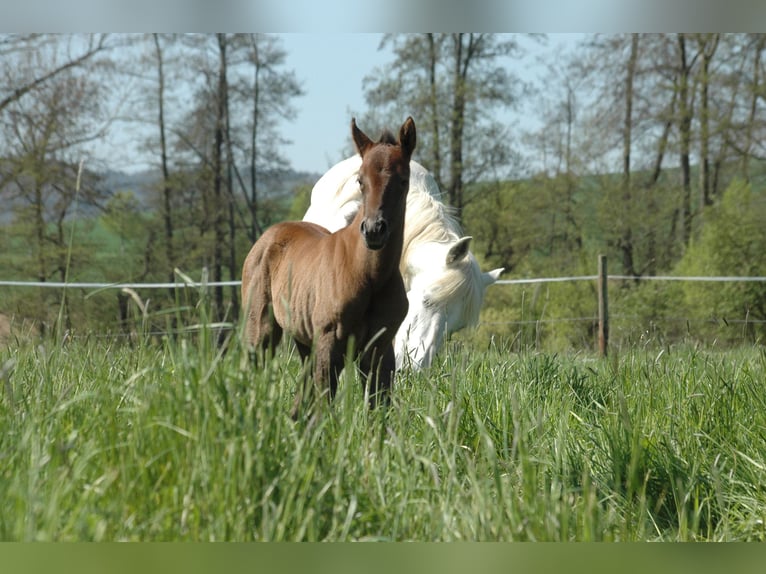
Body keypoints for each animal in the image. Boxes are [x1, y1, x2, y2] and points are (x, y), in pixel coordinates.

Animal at [241, 117, 416, 419]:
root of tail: (267, 237)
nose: (374, 230)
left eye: (403, 181)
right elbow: (325, 404)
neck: (369, 276)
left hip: (304, 339)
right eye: (360, 181)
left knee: (301, 397)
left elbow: (378, 409)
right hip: (261, 330)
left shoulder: (380, 349)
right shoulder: (329, 342)